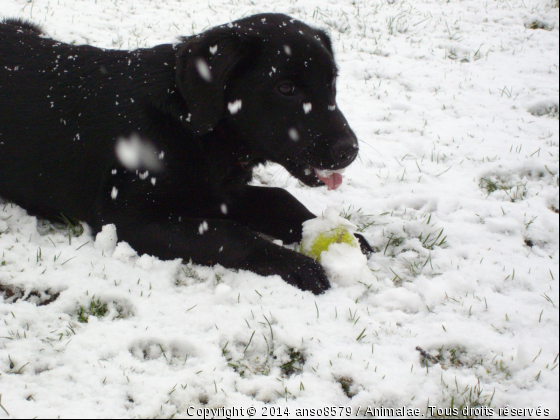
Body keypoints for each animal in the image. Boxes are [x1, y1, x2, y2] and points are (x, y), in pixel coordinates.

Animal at [0, 14, 372, 294]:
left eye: (332, 82)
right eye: (286, 88)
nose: (349, 150)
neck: (189, 127)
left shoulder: (219, 192)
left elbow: (280, 199)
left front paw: (345, 237)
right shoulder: (128, 219)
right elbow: (229, 232)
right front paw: (298, 265)